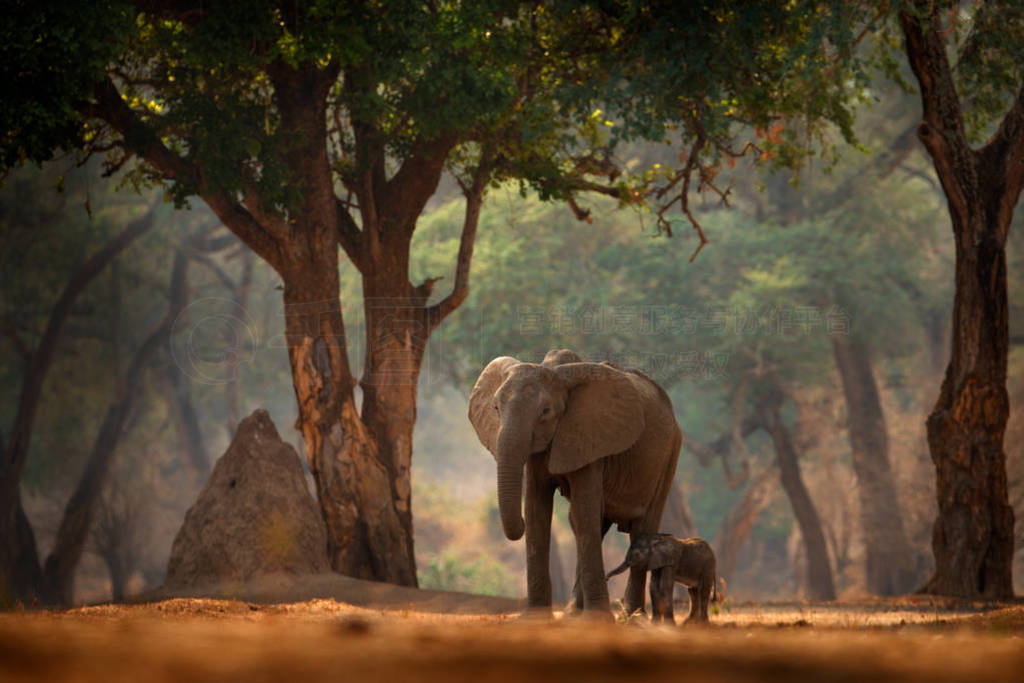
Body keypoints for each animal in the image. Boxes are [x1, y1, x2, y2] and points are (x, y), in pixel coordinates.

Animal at [468, 350, 679, 618]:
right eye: (496, 407)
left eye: (545, 411)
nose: (516, 527)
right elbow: (537, 508)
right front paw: (534, 617)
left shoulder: (589, 437)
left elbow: (583, 510)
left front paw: (598, 619)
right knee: (591, 523)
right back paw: (573, 613)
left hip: (669, 455)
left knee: (641, 527)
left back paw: (632, 616)